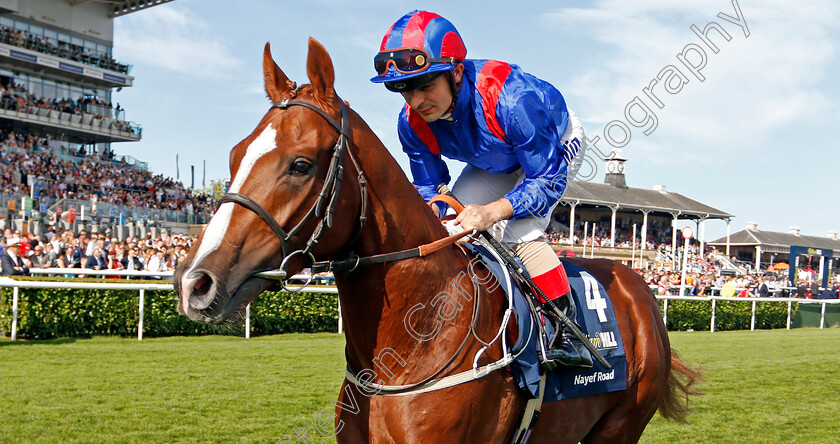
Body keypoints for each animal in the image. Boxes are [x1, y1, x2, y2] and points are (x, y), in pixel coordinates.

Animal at [174, 39, 700, 444]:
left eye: (300, 164)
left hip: (621, 426)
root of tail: (639, 286)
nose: (195, 281)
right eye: (235, 155)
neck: (412, 343)